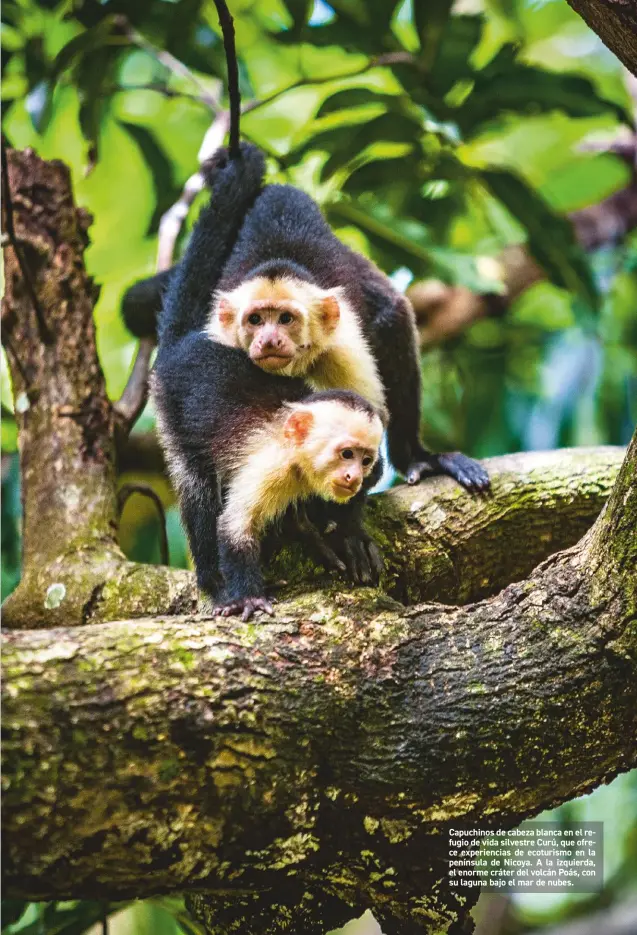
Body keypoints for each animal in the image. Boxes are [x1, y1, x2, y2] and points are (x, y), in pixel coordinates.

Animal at [152, 143, 386, 616]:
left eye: (364, 459)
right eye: (345, 454)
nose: (353, 476)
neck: (301, 463)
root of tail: (182, 345)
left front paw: (347, 528)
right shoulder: (272, 467)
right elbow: (234, 527)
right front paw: (248, 595)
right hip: (169, 404)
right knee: (197, 489)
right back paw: (214, 582)